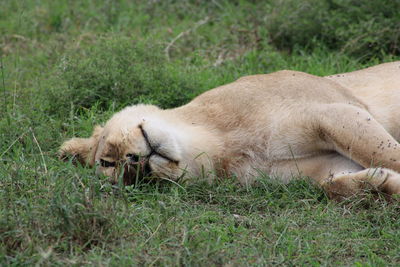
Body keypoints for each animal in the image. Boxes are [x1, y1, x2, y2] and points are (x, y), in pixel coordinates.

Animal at [59, 61, 400, 201]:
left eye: (108, 159)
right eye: (135, 182)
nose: (138, 165)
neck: (221, 145)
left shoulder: (336, 111)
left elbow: (386, 153)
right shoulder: (324, 164)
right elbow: (333, 187)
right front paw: (382, 185)